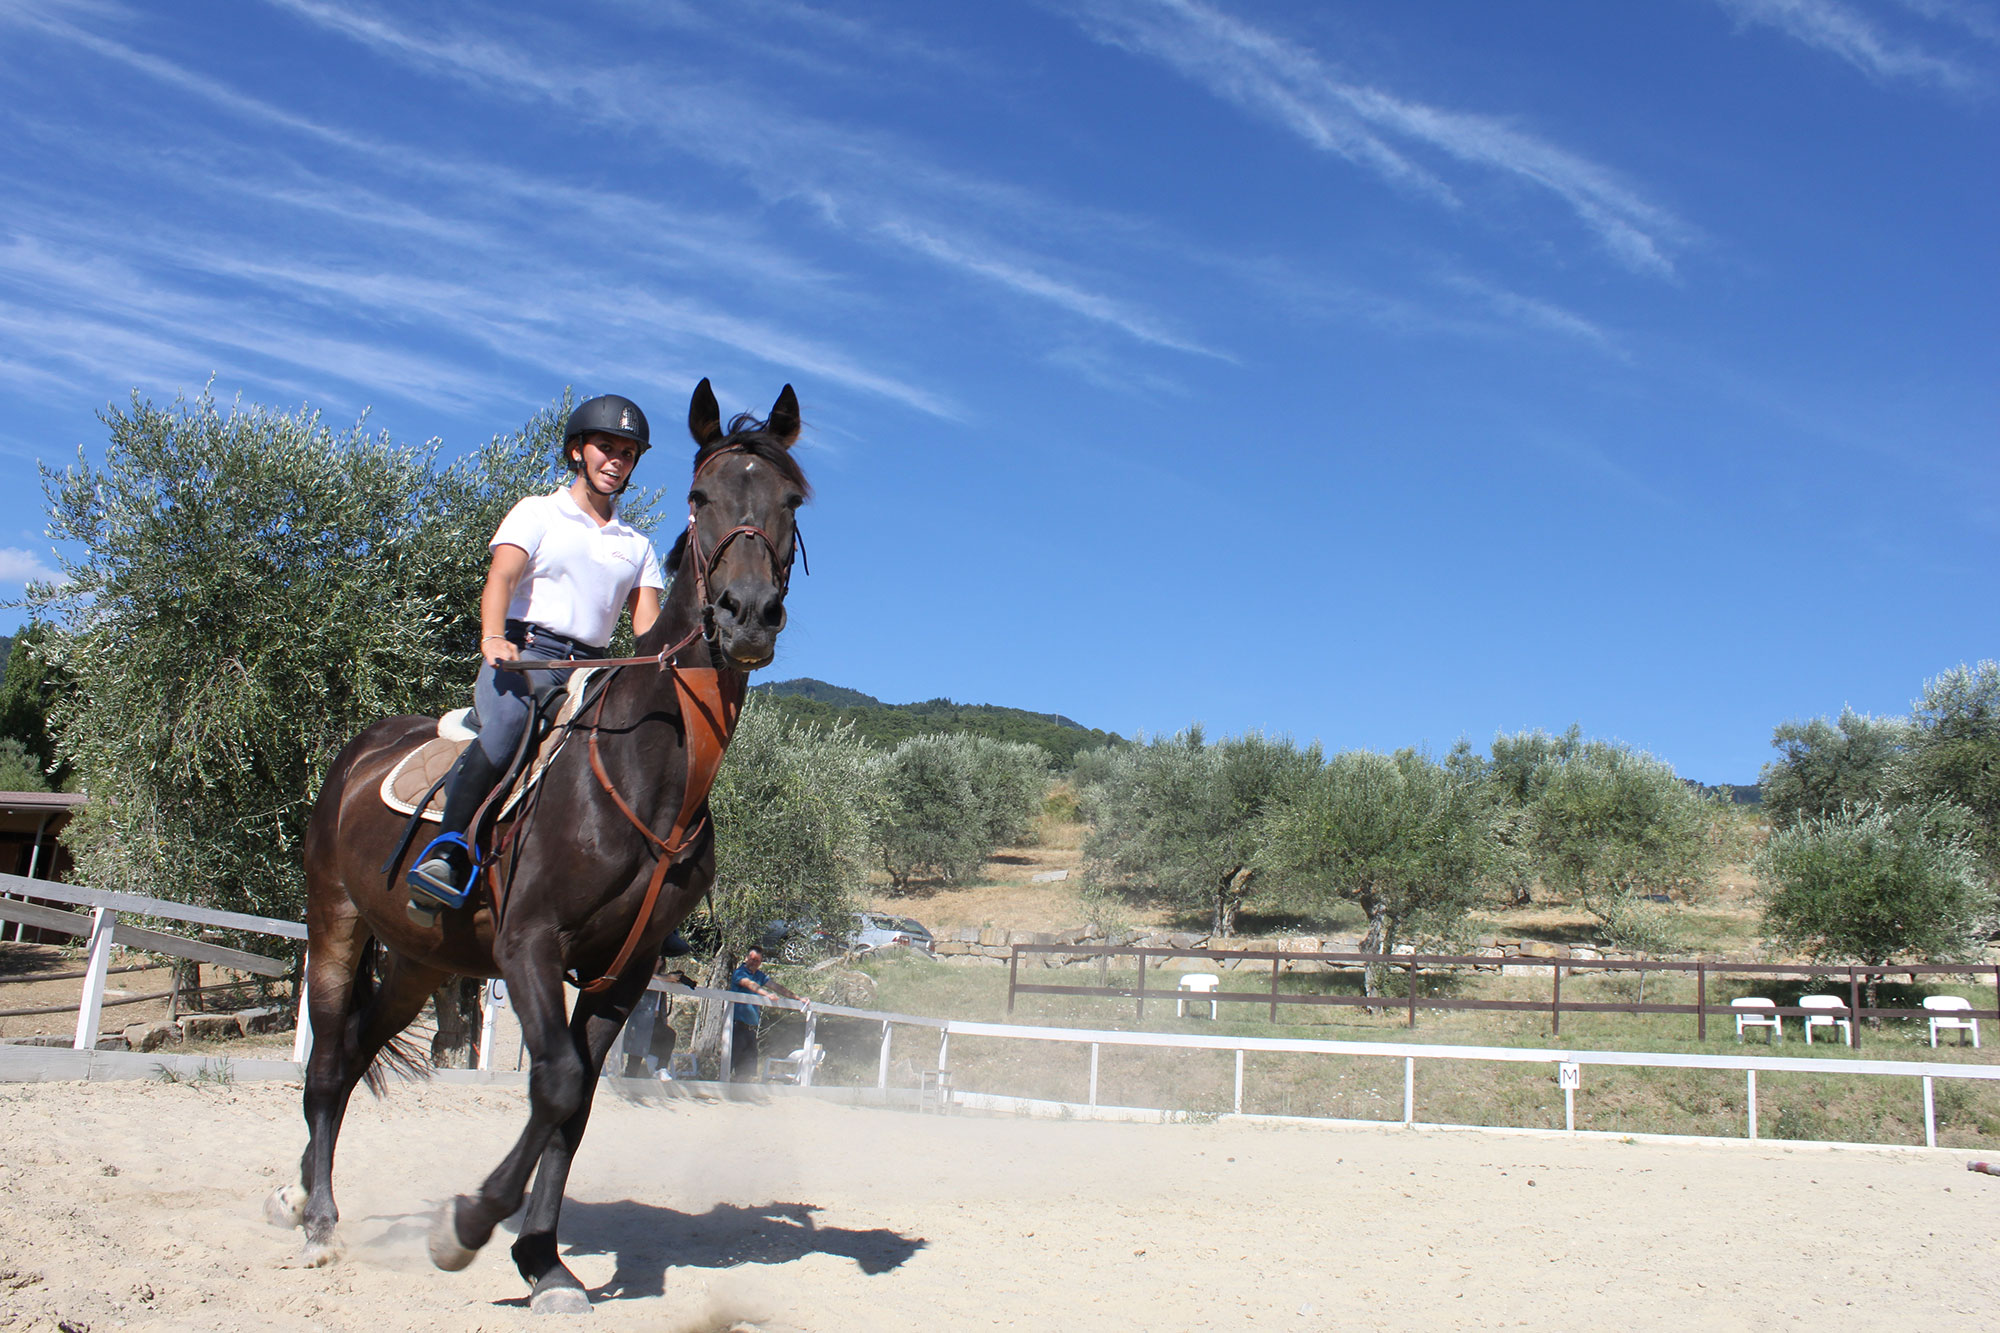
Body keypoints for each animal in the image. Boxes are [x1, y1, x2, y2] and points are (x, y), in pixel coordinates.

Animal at [270, 376, 808, 1304]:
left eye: (790, 500)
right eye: (701, 497)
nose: (746, 617)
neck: (645, 771)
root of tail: (359, 750)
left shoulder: (623, 970)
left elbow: (576, 1102)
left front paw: (542, 1257)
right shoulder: (529, 942)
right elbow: (552, 1082)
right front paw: (467, 1227)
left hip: (421, 959)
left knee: (360, 1050)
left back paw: (308, 1199)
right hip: (335, 921)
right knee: (330, 1064)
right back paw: (317, 1218)